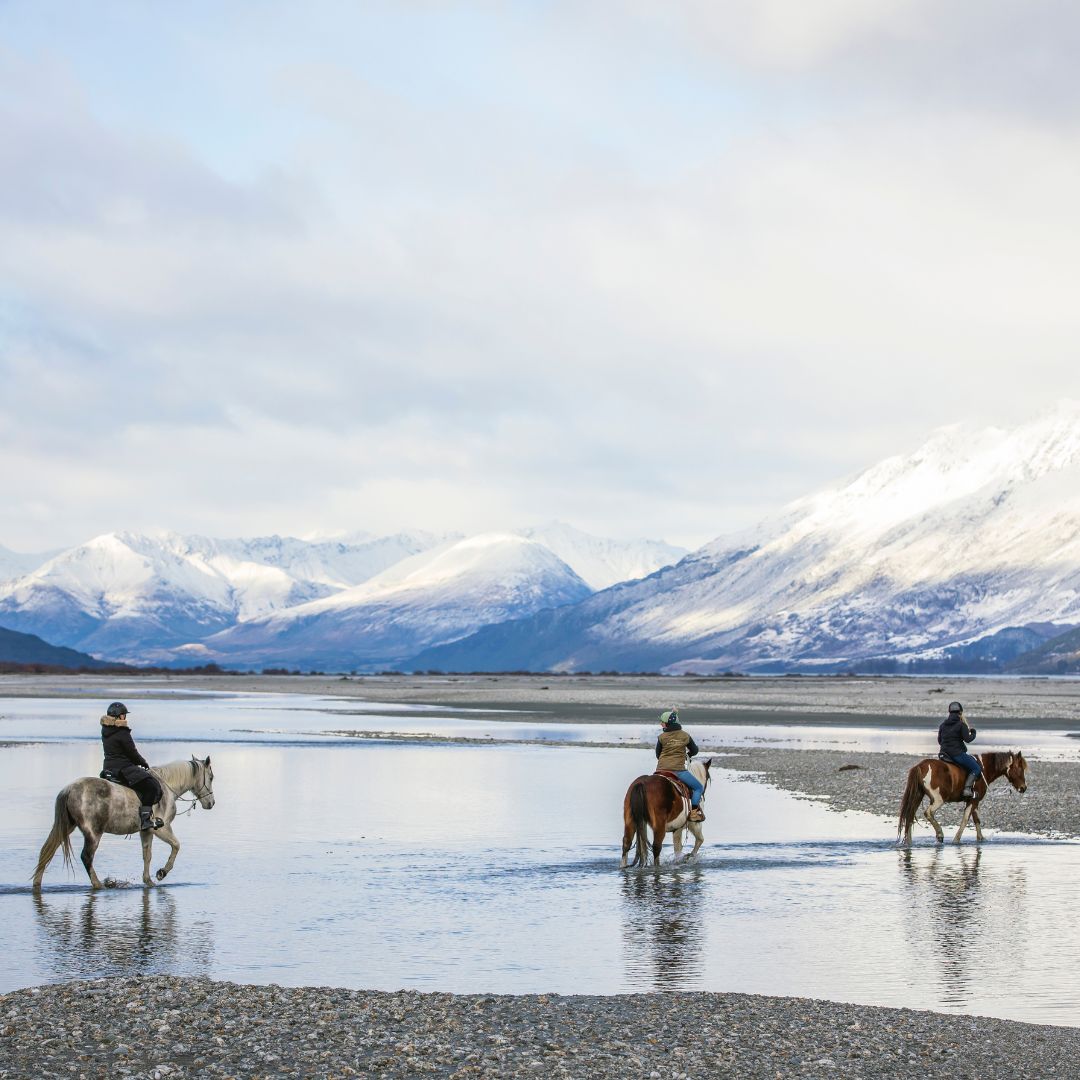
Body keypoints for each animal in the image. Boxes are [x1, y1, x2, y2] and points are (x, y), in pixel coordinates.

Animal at [32, 756, 215, 890]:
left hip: (67, 826)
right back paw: (99, 884)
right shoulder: (161, 829)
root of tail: (69, 789)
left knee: (47, 851)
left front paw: (148, 880)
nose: (211, 803)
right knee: (86, 857)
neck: (167, 788)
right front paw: (162, 873)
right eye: (211, 777)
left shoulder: (146, 831)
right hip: (93, 833)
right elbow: (176, 846)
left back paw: (37, 882)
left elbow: (147, 855)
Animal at [897, 750, 1027, 846]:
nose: (1023, 788)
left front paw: (981, 839)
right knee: (928, 813)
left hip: (918, 796)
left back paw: (909, 842)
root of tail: (920, 766)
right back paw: (939, 834)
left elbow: (977, 820)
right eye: (1020, 769)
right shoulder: (973, 800)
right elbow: (965, 820)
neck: (984, 768)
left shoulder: (974, 801)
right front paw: (956, 840)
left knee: (910, 816)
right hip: (938, 799)